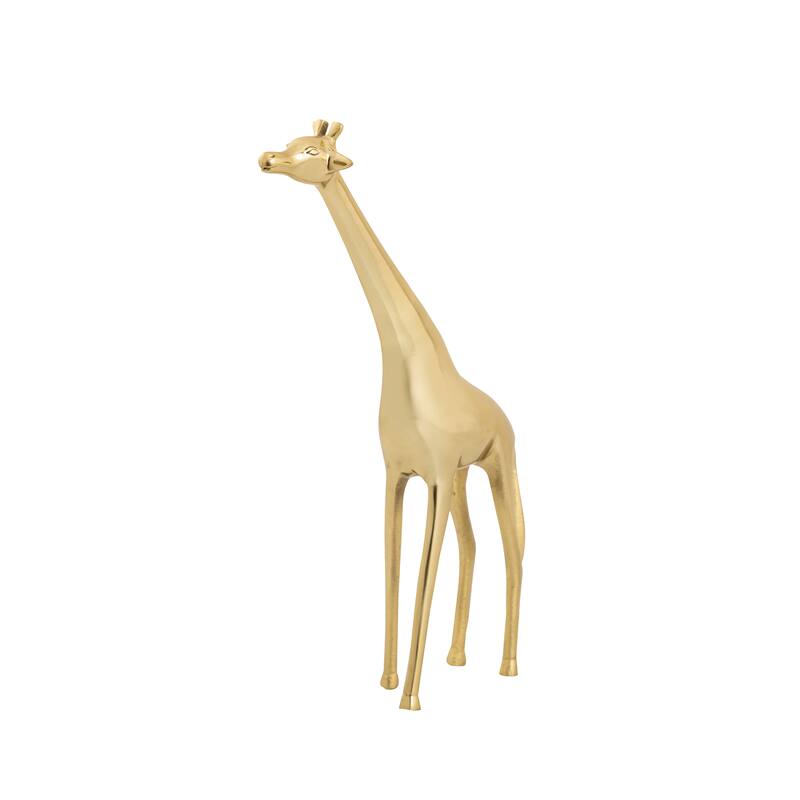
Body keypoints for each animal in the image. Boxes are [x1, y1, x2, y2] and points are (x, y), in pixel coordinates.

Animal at [259, 120, 525, 710]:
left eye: (311, 151)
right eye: (289, 145)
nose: (266, 159)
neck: (413, 371)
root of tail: (501, 412)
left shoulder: (434, 479)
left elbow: (424, 575)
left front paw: (409, 698)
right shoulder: (398, 474)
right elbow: (394, 567)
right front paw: (386, 680)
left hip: (497, 465)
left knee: (515, 547)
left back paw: (508, 665)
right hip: (461, 478)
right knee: (473, 546)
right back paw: (456, 656)